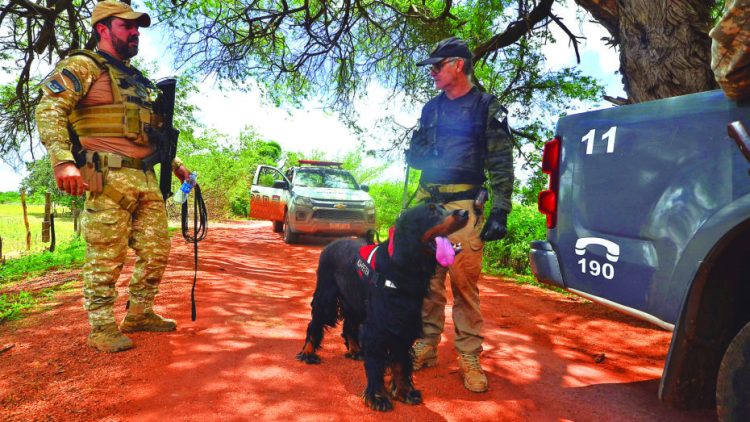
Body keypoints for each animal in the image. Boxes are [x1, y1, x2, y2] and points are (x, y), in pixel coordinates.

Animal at [296, 203, 468, 410]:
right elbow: (377, 363)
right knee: (315, 322)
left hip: (354, 301)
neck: (402, 268)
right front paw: (377, 397)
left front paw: (404, 392)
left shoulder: (403, 323)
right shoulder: (377, 326)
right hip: (326, 295)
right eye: (431, 211)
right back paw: (308, 353)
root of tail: (332, 243)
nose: (465, 212)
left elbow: (400, 361)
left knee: (349, 325)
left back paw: (355, 351)